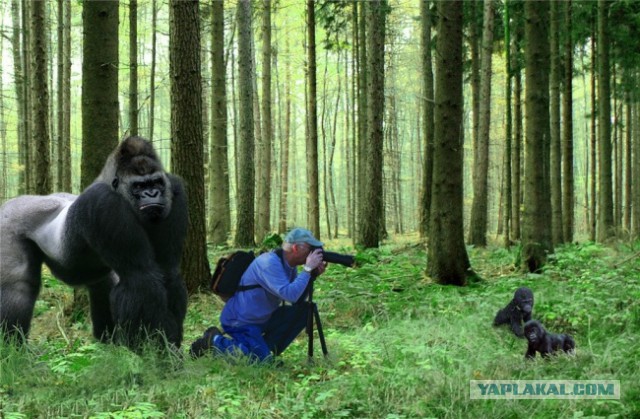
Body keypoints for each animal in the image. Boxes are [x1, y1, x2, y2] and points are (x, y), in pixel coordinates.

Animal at [0, 137, 189, 348]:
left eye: (156, 183)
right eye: (139, 187)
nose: (152, 194)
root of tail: (14, 201)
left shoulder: (174, 188)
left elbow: (167, 271)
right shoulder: (104, 201)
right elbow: (141, 278)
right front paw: (157, 348)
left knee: (104, 285)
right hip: (9, 222)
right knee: (18, 286)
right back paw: (12, 346)